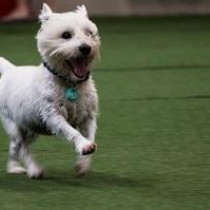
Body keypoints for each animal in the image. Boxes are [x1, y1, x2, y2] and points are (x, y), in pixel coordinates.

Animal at [0, 3, 100, 179]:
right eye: (66, 35)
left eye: (90, 33)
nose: (86, 48)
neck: (70, 83)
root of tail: (9, 70)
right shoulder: (52, 115)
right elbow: (72, 131)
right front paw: (84, 146)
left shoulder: (88, 116)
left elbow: (89, 134)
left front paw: (82, 164)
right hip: (13, 124)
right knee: (22, 146)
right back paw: (34, 169)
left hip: (31, 128)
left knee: (15, 147)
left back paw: (14, 168)